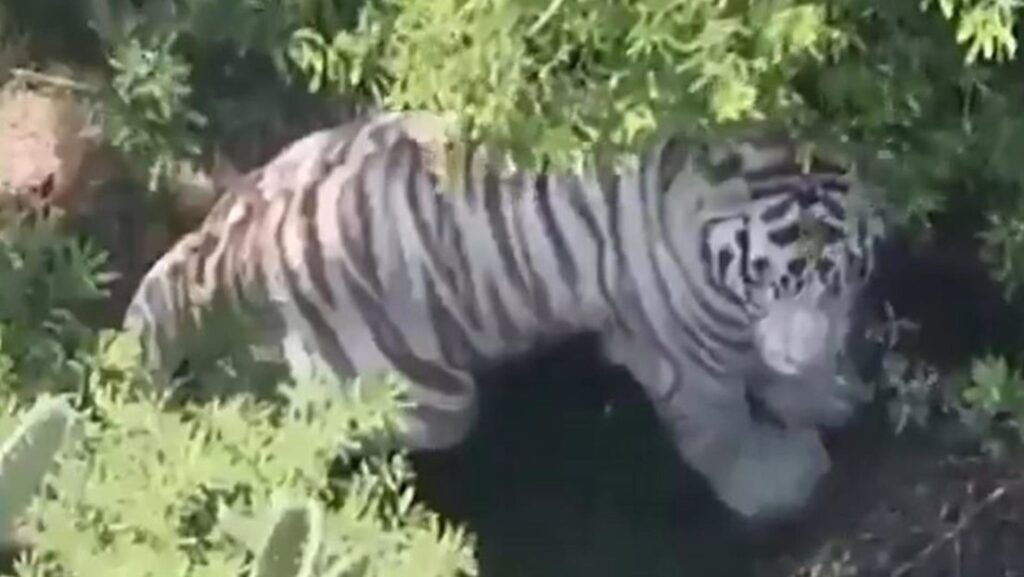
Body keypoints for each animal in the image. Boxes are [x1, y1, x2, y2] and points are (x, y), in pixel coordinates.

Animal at [122, 110, 886, 523]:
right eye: (766, 277)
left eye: (841, 276)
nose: (803, 353)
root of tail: (226, 243)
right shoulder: (682, 353)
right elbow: (722, 430)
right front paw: (780, 481)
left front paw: (824, 390)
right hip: (429, 401)